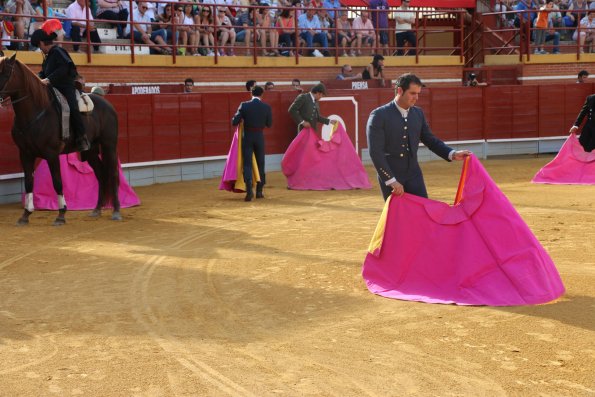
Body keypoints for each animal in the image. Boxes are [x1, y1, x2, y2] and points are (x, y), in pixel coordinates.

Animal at [0, 54, 121, 224]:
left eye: (5, 74)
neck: (35, 112)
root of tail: (107, 104)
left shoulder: (51, 154)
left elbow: (57, 181)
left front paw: (61, 214)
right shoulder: (25, 153)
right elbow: (29, 182)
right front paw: (25, 215)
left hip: (109, 145)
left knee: (112, 173)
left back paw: (116, 211)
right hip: (91, 150)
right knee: (101, 174)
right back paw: (96, 210)